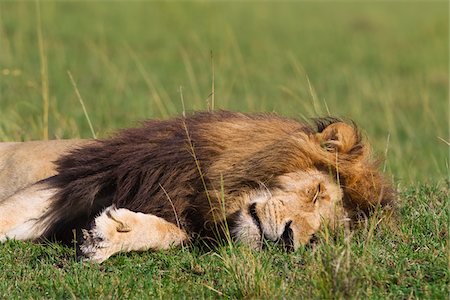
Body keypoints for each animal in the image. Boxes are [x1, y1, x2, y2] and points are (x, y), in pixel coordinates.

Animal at [0, 110, 394, 262]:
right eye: (316, 192)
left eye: (317, 238)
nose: (288, 239)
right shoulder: (76, 181)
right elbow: (11, 214)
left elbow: (168, 233)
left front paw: (109, 236)